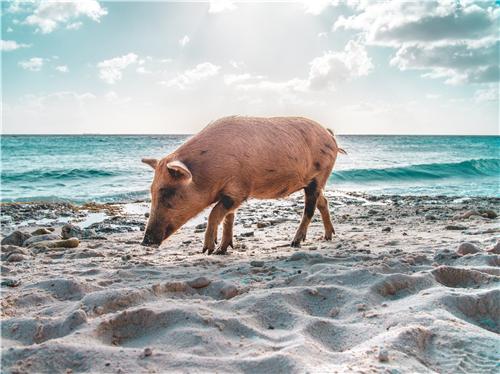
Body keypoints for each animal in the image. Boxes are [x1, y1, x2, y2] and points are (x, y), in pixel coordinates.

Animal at [141, 116, 344, 254]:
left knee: (309, 208)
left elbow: (215, 212)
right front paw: (221, 251)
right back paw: (328, 236)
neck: (208, 172)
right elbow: (228, 217)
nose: (145, 241)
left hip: (319, 175)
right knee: (323, 202)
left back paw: (295, 242)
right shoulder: (230, 193)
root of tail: (329, 133)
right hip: (315, 181)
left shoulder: (239, 190)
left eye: (167, 192)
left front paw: (207, 250)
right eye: (151, 191)